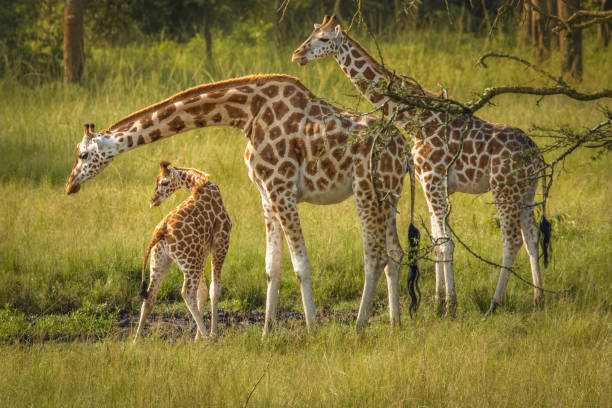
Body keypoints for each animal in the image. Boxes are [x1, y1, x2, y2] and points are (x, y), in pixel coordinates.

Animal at [134, 159, 232, 342]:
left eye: (164, 182)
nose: (153, 201)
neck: (201, 183)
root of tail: (160, 231)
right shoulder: (221, 242)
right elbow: (214, 289)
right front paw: (211, 333)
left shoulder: (203, 250)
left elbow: (203, 292)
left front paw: (197, 339)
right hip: (190, 261)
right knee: (187, 293)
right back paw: (208, 338)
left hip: (161, 260)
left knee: (150, 296)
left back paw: (135, 341)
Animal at [292, 15, 548, 316]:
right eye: (311, 34)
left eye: (323, 39)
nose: (297, 54)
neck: (417, 120)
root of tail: (537, 154)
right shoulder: (430, 181)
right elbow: (438, 240)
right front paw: (438, 301)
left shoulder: (433, 177)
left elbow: (445, 242)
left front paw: (450, 304)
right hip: (526, 190)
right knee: (531, 236)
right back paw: (539, 299)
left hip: (504, 188)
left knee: (512, 240)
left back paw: (495, 304)